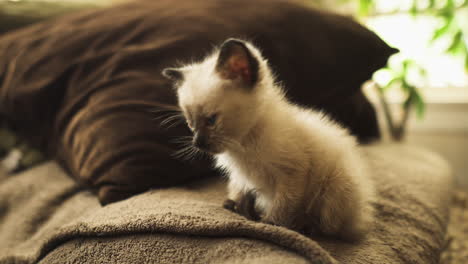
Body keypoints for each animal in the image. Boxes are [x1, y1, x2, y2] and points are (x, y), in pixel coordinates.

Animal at [163, 37, 374, 241]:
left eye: (211, 120)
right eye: (190, 124)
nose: (197, 143)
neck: (243, 144)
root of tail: (360, 219)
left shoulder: (292, 173)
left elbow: (283, 205)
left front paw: (270, 223)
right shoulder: (241, 176)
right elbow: (239, 191)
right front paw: (235, 206)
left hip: (334, 189)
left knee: (330, 228)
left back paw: (305, 227)